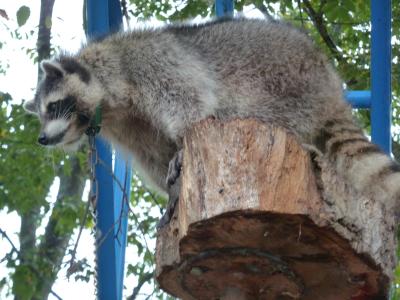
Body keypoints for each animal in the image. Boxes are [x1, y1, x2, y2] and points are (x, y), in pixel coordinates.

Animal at [25, 16, 400, 223]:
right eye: (40, 113)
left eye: (54, 107)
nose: (42, 139)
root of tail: (332, 89)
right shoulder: (129, 126)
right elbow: (155, 154)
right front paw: (171, 186)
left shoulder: (148, 63)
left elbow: (189, 103)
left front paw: (183, 146)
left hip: (285, 81)